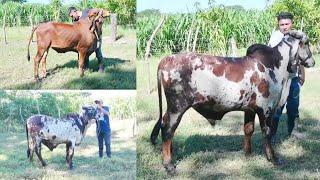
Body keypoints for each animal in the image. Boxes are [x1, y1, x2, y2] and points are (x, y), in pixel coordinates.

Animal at [151, 30, 316, 174]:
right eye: (307, 42)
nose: (312, 62)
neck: (275, 65)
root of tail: (166, 59)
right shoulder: (266, 109)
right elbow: (267, 133)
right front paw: (273, 158)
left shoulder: (250, 109)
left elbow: (248, 129)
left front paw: (248, 153)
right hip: (177, 107)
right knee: (168, 129)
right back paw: (169, 165)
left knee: (166, 127)